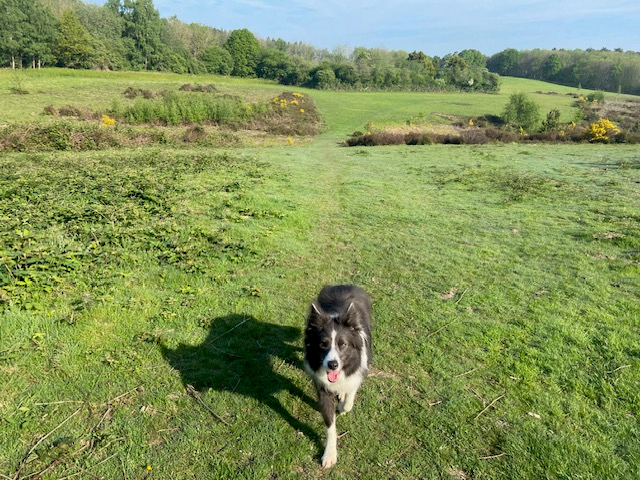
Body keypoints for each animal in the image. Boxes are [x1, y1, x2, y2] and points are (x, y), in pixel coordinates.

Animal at [304, 284, 372, 466]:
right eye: (323, 344)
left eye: (343, 345)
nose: (332, 365)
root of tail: (344, 284)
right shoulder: (322, 387)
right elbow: (330, 424)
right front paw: (329, 455)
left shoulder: (358, 370)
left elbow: (350, 397)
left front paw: (342, 405)